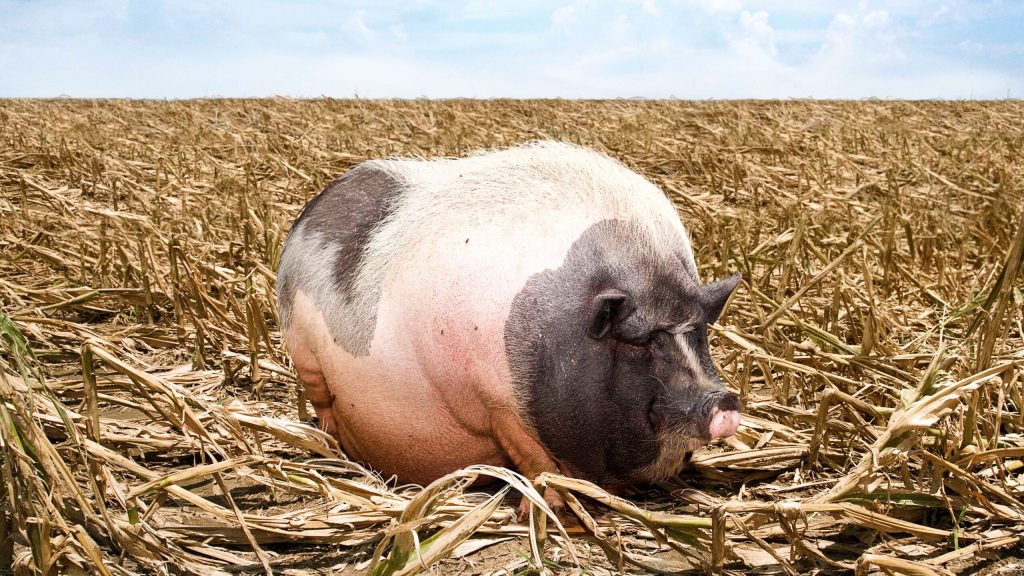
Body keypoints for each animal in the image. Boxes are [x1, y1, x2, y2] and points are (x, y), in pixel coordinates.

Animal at [278, 140, 745, 510]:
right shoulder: (494, 400)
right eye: (638, 342)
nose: (723, 401)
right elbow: (536, 463)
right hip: (302, 350)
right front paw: (560, 515)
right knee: (323, 403)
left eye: (700, 331)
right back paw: (335, 452)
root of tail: (312, 210)